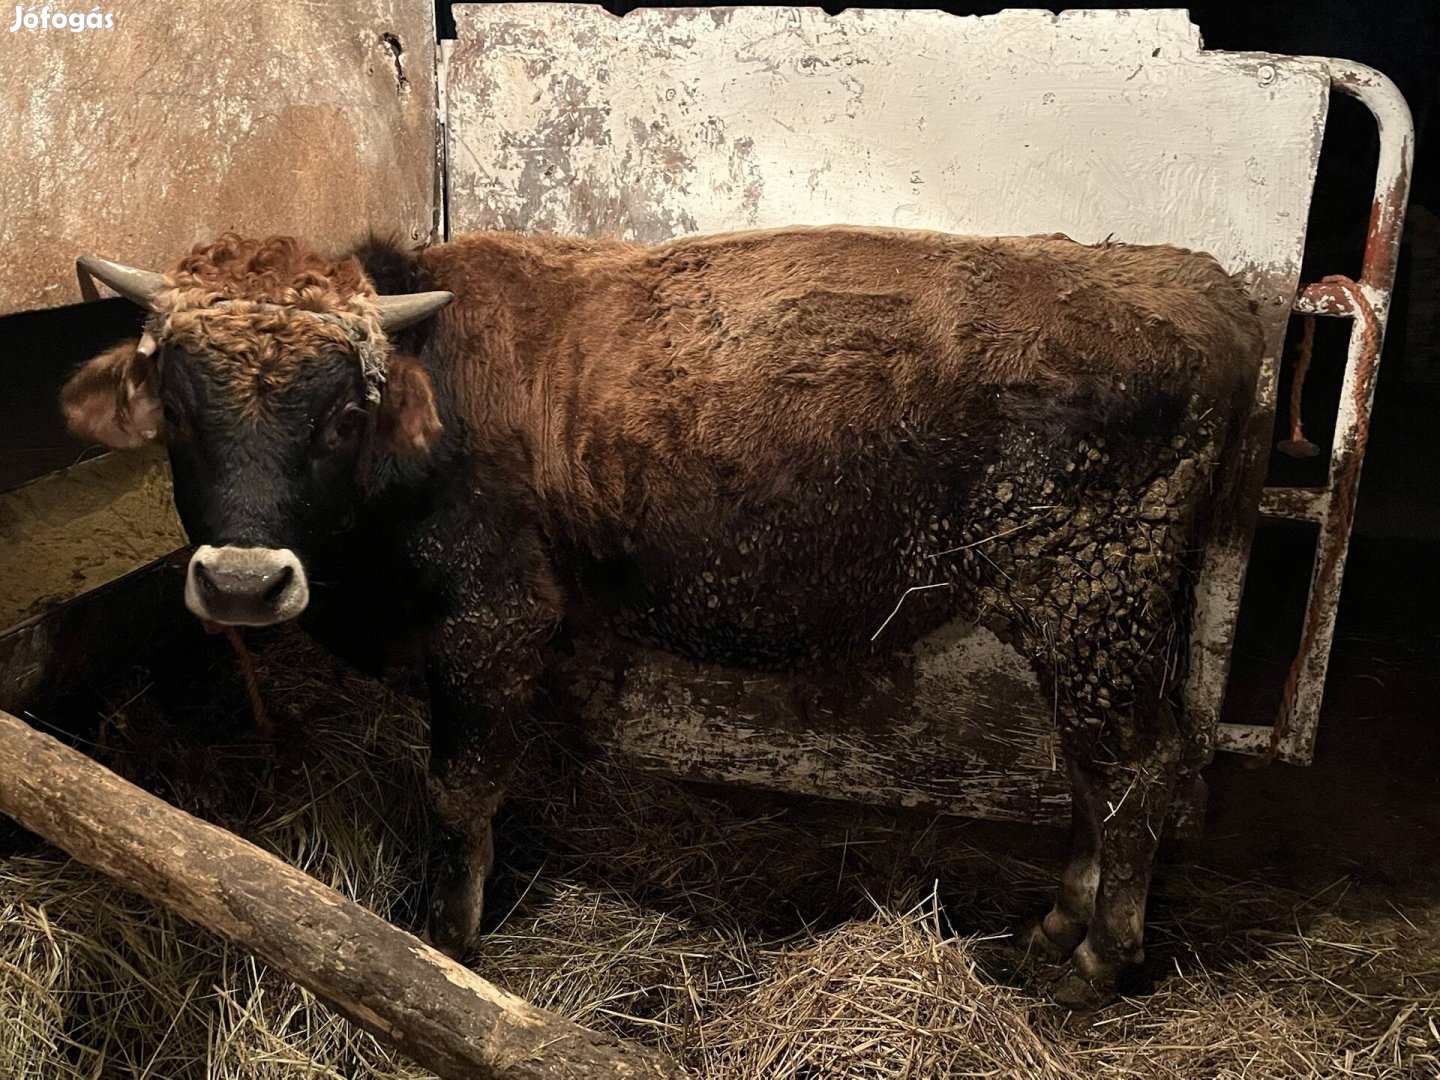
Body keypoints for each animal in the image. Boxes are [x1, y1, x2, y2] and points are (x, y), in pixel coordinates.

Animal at [61, 224, 1267, 1013]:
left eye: (342, 413)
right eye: (175, 406)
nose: (243, 584)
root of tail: (1193, 282)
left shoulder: (492, 624)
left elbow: (458, 791)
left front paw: (444, 943)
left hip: (1093, 598)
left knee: (1140, 770)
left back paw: (1099, 959)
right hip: (1094, 624)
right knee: (1098, 771)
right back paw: (1057, 923)